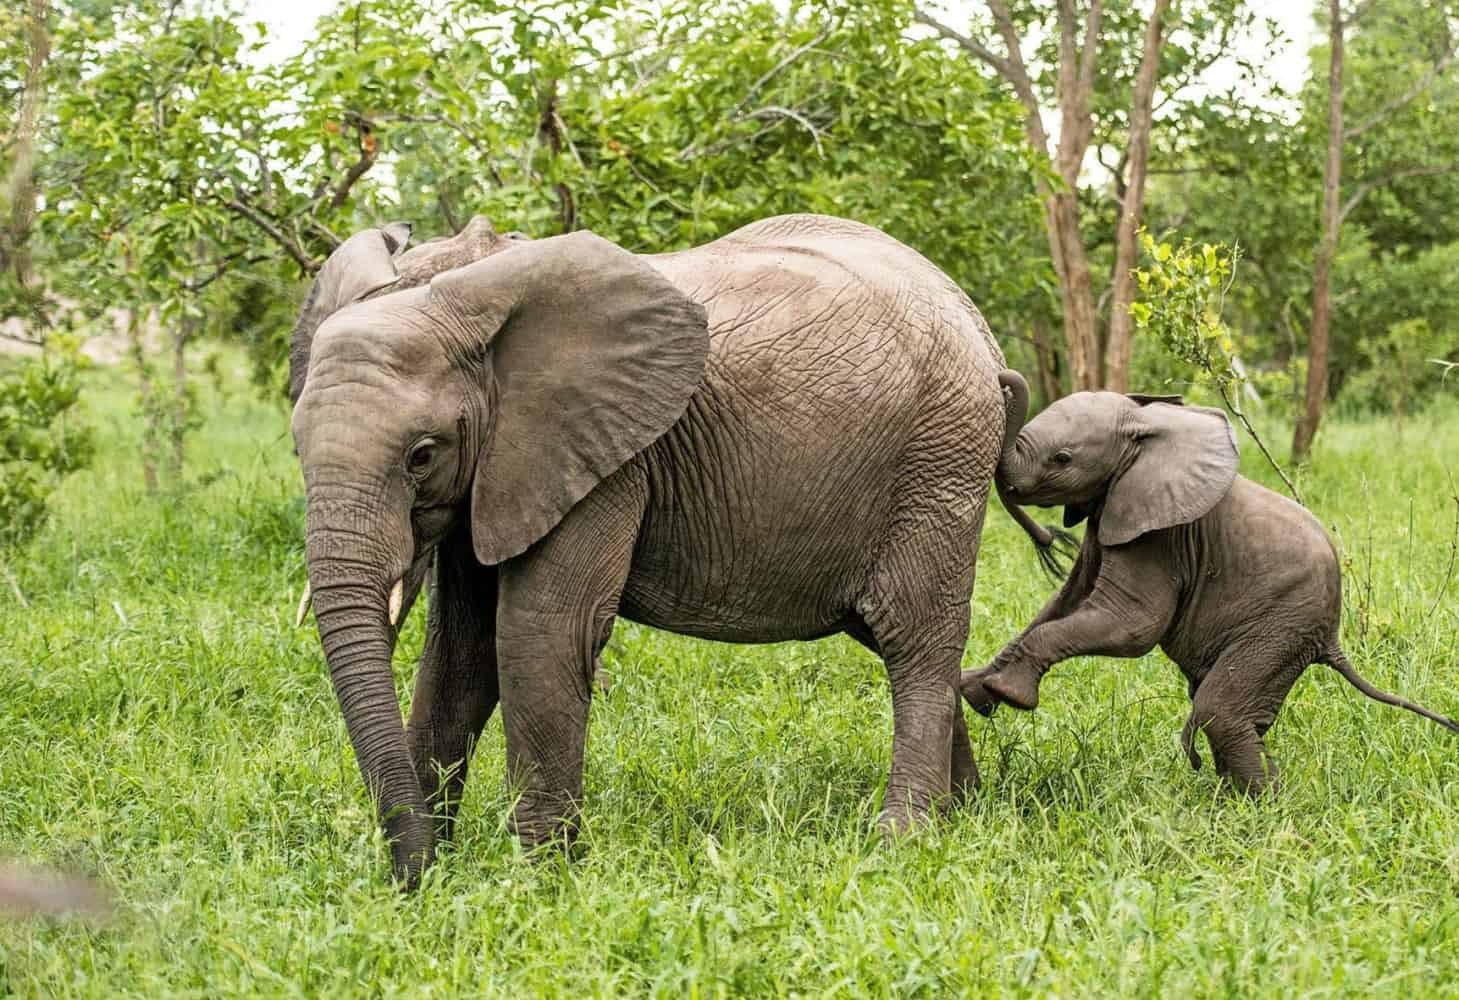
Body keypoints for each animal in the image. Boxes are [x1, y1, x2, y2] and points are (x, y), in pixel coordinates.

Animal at [286, 212, 1054, 885]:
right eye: (296, 448)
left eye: (421, 455)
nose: (406, 877)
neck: (465, 290)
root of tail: (983, 339)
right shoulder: (505, 466)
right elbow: (460, 653)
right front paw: (440, 872)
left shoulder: (605, 455)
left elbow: (542, 634)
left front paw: (544, 881)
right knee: (890, 635)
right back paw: (966, 815)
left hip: (939, 457)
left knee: (914, 638)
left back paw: (904, 839)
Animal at [959, 391, 1459, 794]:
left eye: (1062, 458)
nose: (1006, 381)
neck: (1144, 428)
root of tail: (1331, 639)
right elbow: (1067, 601)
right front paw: (975, 688)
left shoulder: (1160, 535)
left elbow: (1132, 627)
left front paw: (1008, 693)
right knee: (1236, 713)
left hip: (1283, 625)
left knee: (1219, 710)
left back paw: (1259, 809)